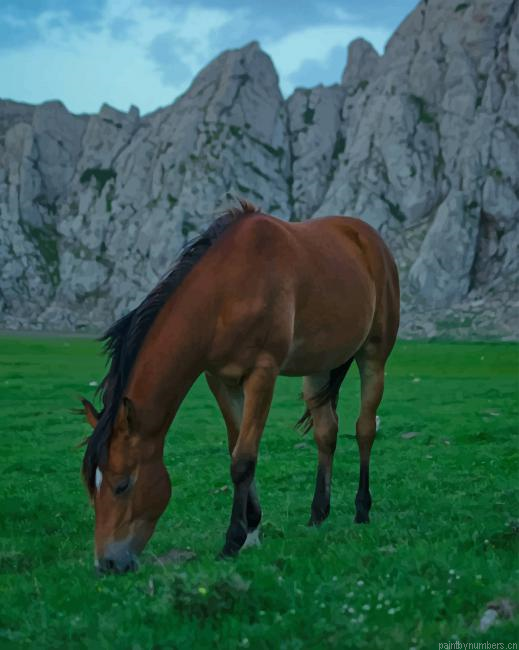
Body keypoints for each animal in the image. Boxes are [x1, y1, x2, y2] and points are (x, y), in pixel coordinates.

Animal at [80, 200, 399, 573]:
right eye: (91, 485)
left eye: (122, 485)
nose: (107, 563)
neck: (226, 292)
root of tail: (370, 238)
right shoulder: (219, 378)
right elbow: (237, 446)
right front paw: (252, 529)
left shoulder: (262, 373)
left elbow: (243, 459)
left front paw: (233, 540)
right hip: (318, 367)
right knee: (326, 433)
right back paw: (318, 514)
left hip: (373, 355)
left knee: (365, 429)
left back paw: (362, 510)